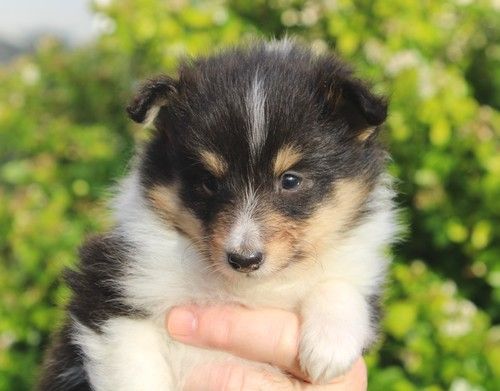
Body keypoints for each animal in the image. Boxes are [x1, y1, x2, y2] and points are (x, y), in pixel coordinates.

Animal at [38, 40, 398, 391]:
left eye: (290, 180)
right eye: (208, 182)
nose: (244, 260)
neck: (246, 289)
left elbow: (340, 284)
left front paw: (329, 348)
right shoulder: (109, 288)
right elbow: (136, 372)